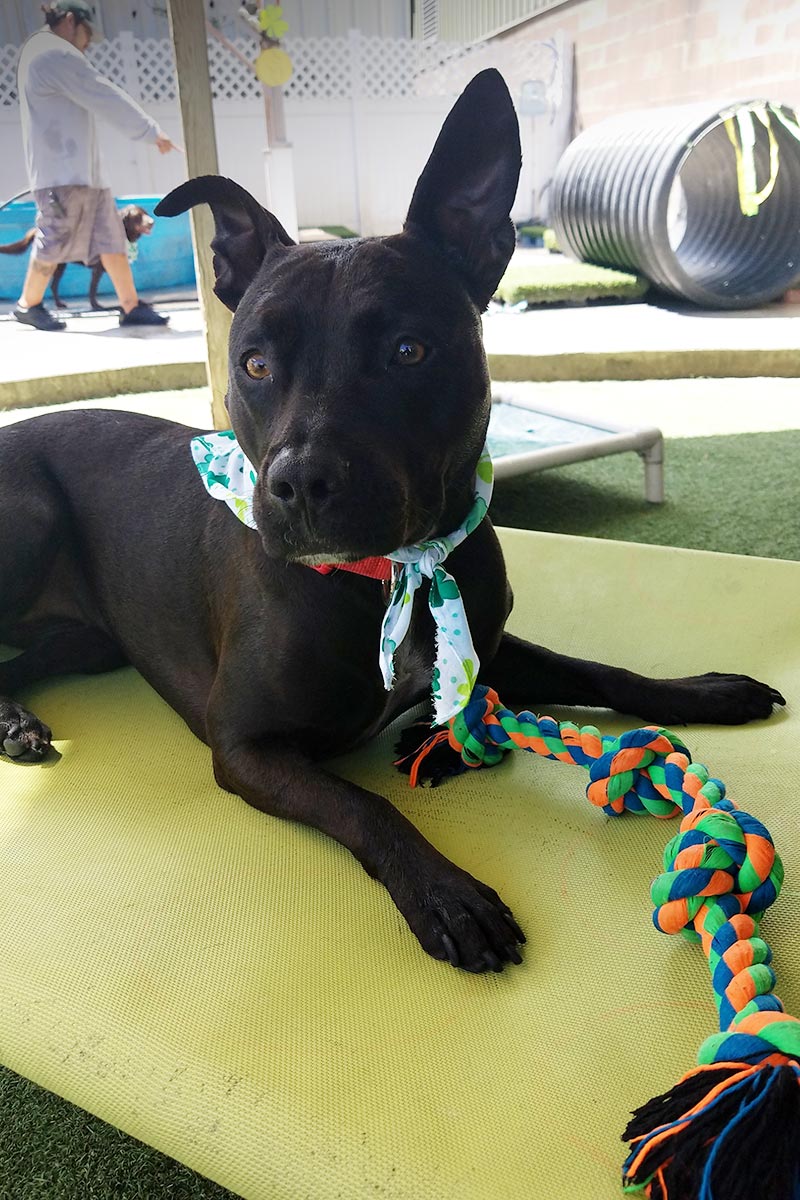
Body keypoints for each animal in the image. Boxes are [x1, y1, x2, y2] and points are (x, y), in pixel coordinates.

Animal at [0, 200, 154, 309]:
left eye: (146, 213)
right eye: (137, 216)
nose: (152, 222)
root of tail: (37, 230)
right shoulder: (98, 270)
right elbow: (93, 289)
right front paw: (96, 306)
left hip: (60, 266)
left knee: (53, 286)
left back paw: (58, 304)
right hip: (56, 265)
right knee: (50, 284)